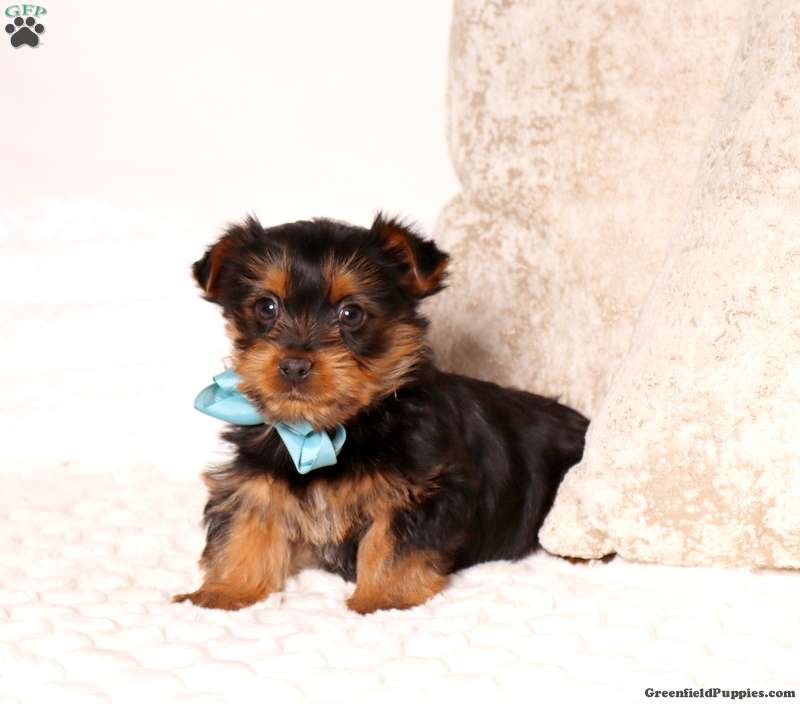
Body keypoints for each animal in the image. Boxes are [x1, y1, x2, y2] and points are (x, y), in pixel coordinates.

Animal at [173, 214, 589, 614]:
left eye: (351, 313)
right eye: (266, 307)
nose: (293, 365)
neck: (333, 428)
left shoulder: (420, 491)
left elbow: (392, 546)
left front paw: (381, 599)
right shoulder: (255, 476)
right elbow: (244, 526)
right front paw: (222, 593)